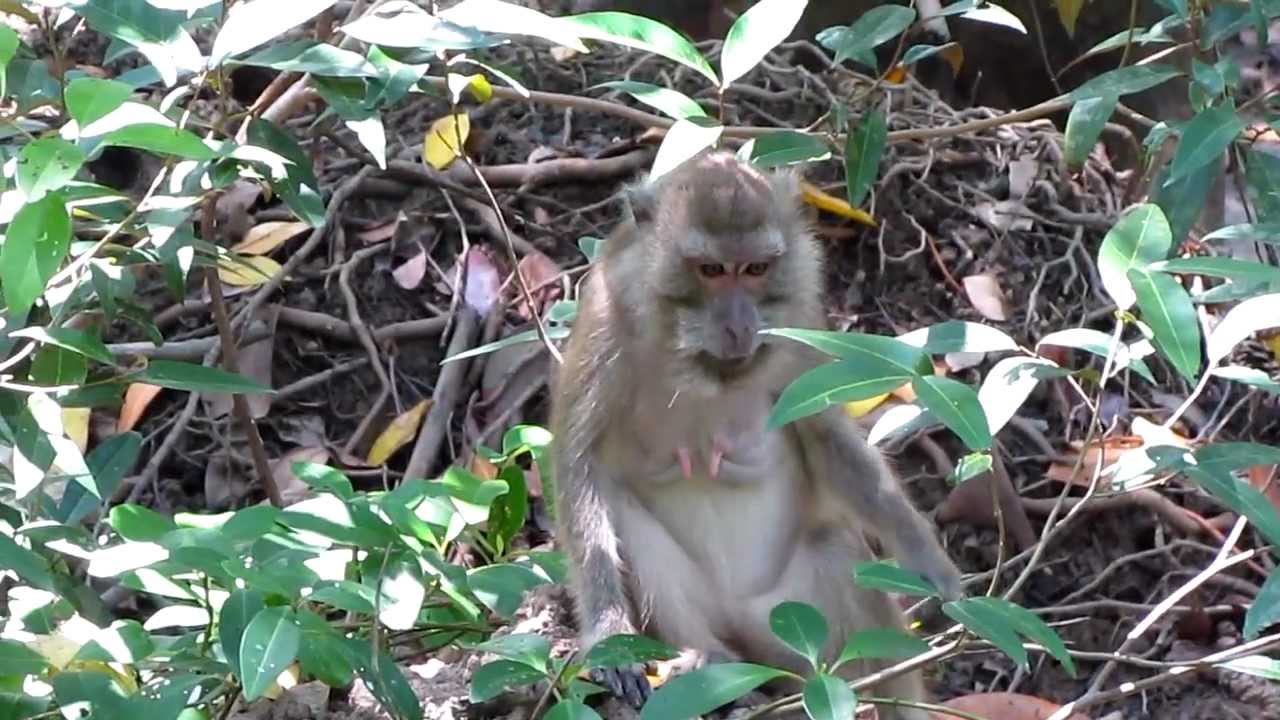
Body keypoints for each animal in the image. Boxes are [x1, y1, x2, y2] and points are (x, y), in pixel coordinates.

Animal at [549, 151, 964, 720]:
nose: (739, 326)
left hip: (794, 618)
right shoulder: (606, 320)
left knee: (840, 552)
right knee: (628, 521)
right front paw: (609, 634)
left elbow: (827, 436)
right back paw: (705, 660)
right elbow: (579, 460)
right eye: (710, 270)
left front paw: (930, 566)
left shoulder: (799, 320)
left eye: (756, 269)